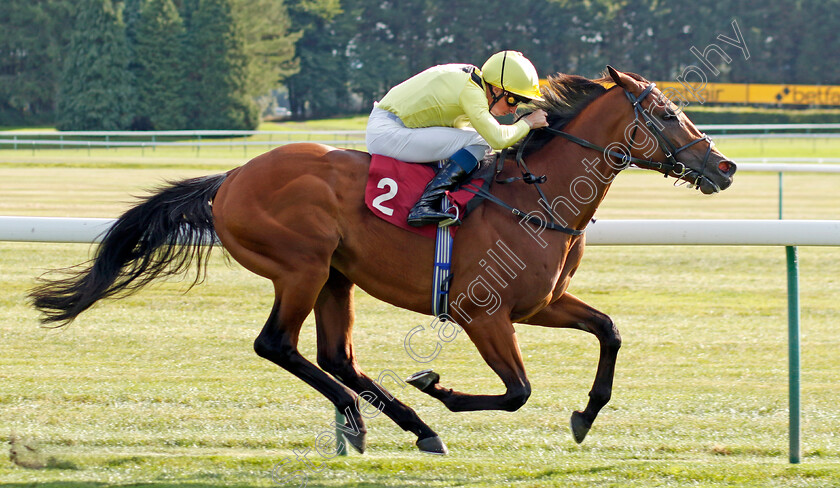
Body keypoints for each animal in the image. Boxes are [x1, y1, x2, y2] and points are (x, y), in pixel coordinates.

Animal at [26, 66, 736, 456]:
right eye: (667, 112)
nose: (725, 165)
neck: (535, 196)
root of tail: (230, 179)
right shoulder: (481, 313)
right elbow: (517, 392)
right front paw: (437, 387)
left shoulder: (540, 303)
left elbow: (608, 331)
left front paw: (587, 415)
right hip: (302, 267)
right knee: (276, 345)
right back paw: (378, 418)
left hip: (335, 276)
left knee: (335, 355)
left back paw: (400, 423)